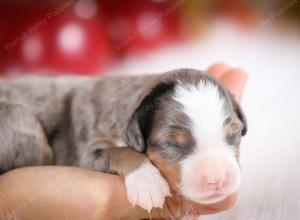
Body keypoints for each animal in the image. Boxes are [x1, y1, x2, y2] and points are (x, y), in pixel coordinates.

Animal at [0, 69, 246, 215]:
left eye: (234, 134)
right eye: (174, 143)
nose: (218, 180)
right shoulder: (89, 149)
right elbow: (121, 151)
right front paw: (148, 183)